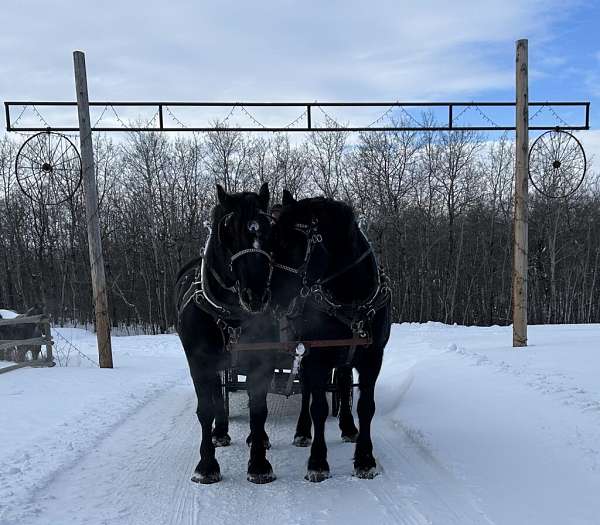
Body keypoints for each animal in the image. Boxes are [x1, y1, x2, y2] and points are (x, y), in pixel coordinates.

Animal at [173, 183, 276, 484]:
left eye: (269, 226)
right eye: (228, 228)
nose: (256, 295)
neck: (231, 314)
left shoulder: (262, 360)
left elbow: (258, 408)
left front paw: (259, 463)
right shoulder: (199, 362)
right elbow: (206, 408)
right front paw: (206, 465)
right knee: (218, 396)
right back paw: (220, 433)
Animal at [274, 190, 394, 482]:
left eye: (290, 242)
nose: (265, 294)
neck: (350, 299)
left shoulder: (373, 357)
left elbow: (366, 406)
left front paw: (365, 459)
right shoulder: (316, 356)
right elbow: (317, 407)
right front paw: (317, 462)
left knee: (342, 381)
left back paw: (348, 427)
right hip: (304, 352)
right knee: (307, 390)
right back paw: (302, 432)